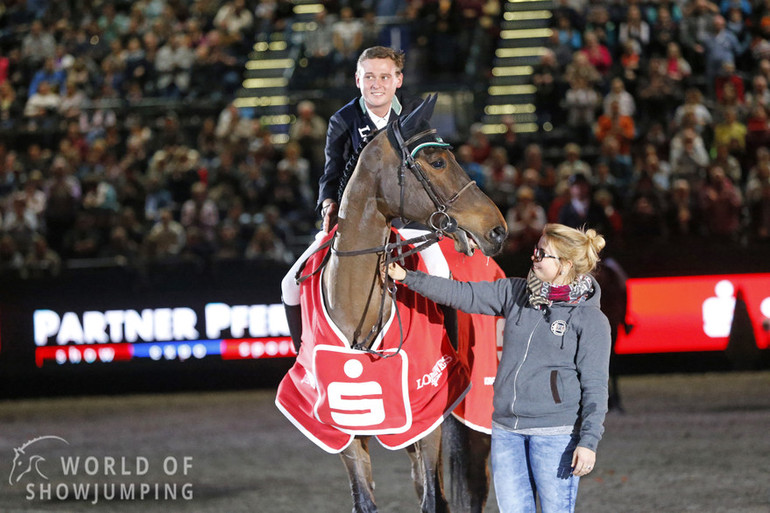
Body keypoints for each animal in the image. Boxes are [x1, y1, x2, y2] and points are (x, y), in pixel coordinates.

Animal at [274, 94, 504, 510]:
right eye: (438, 162)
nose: (496, 229)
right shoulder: (346, 425)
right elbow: (364, 499)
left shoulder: (427, 414)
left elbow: (434, 499)